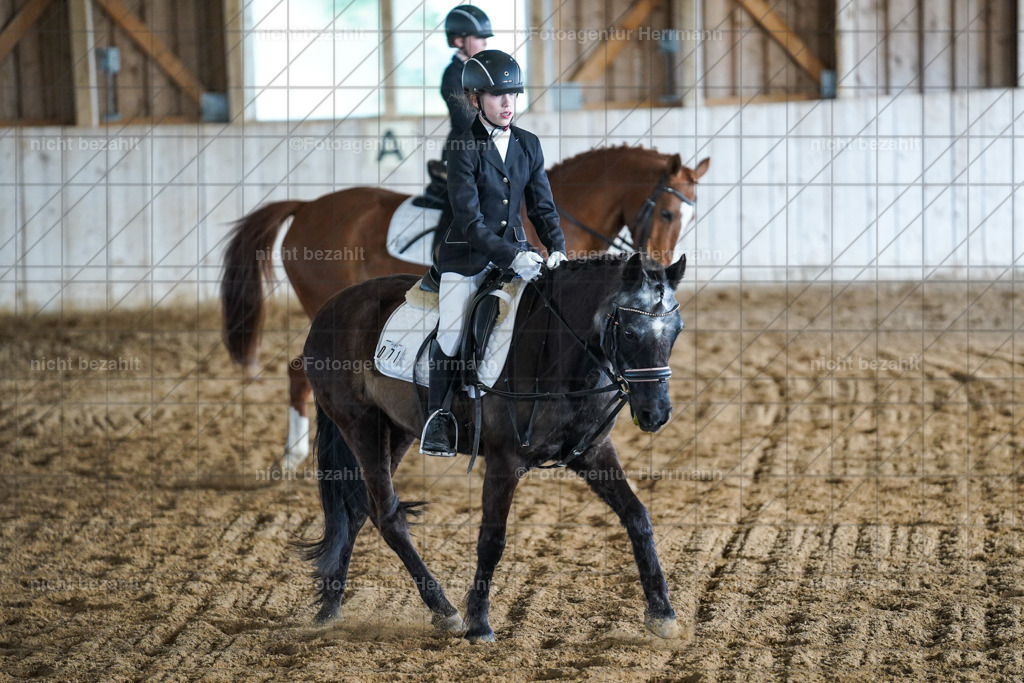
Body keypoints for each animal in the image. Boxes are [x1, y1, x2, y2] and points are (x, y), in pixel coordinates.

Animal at [220, 147, 709, 470]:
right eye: (667, 213)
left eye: (690, 218)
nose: (659, 269)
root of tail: (306, 207)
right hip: (327, 306)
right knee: (299, 371)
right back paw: (292, 456)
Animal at [298, 252, 688, 642]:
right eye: (629, 332)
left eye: (677, 331)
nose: (656, 414)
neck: (559, 354)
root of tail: (332, 306)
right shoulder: (505, 459)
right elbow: (492, 540)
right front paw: (479, 624)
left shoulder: (594, 452)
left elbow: (637, 516)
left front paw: (662, 613)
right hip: (362, 426)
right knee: (388, 516)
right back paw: (444, 610)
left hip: (396, 431)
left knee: (358, 511)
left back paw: (329, 609)